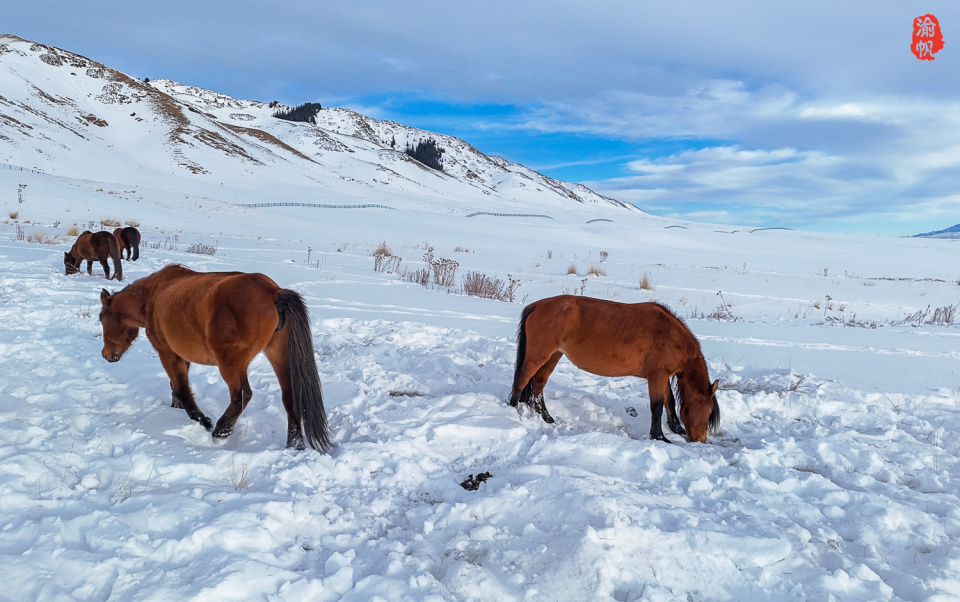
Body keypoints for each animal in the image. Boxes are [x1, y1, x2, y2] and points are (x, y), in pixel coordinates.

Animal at [96, 264, 332, 450]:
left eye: (101, 318)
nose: (106, 355)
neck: (153, 296)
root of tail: (273, 292)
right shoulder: (182, 357)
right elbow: (177, 387)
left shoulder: (168, 354)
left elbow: (182, 389)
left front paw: (204, 421)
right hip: (278, 356)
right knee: (289, 397)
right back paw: (294, 442)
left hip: (231, 363)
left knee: (242, 394)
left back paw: (221, 430)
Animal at [510, 294, 720, 440]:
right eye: (709, 411)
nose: (700, 440)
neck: (671, 336)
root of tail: (536, 305)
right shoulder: (657, 376)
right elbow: (657, 406)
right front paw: (659, 436)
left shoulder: (663, 376)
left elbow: (670, 402)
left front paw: (676, 428)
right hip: (539, 355)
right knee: (521, 379)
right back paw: (512, 410)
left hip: (553, 356)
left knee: (538, 384)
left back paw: (546, 417)